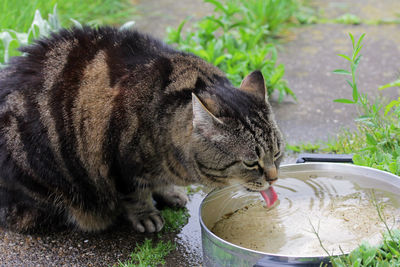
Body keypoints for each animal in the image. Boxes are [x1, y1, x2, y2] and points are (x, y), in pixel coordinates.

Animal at [0, 26, 284, 233]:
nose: (273, 177)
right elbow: (135, 193)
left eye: (277, 153)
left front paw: (169, 192)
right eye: (250, 163)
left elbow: (160, 182)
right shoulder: (119, 163)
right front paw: (146, 214)